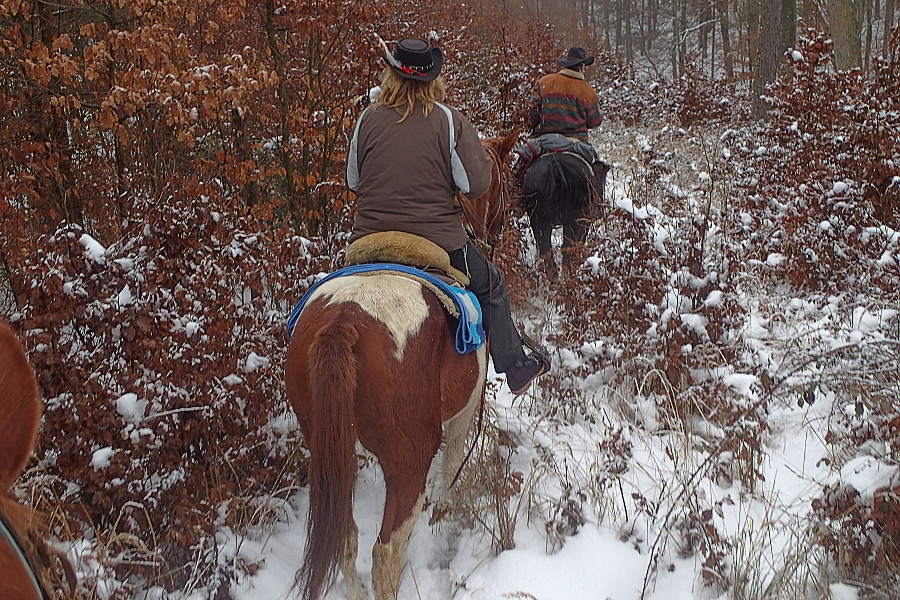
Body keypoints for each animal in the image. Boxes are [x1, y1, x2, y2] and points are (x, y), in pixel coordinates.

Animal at [284, 132, 516, 600]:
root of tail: (343, 323)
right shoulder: (464, 412)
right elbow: (451, 470)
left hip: (326, 446)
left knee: (346, 537)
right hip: (409, 458)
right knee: (386, 551)